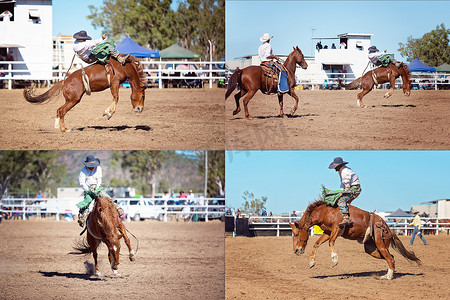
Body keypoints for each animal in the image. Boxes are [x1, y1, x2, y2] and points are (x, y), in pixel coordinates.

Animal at [290, 200, 420, 280]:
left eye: (296, 234)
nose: (296, 250)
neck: (325, 211)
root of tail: (387, 226)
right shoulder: (327, 232)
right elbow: (316, 244)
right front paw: (311, 262)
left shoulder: (337, 228)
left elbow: (331, 242)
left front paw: (334, 259)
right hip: (371, 249)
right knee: (391, 257)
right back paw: (389, 274)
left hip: (380, 242)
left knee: (390, 258)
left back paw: (388, 277)